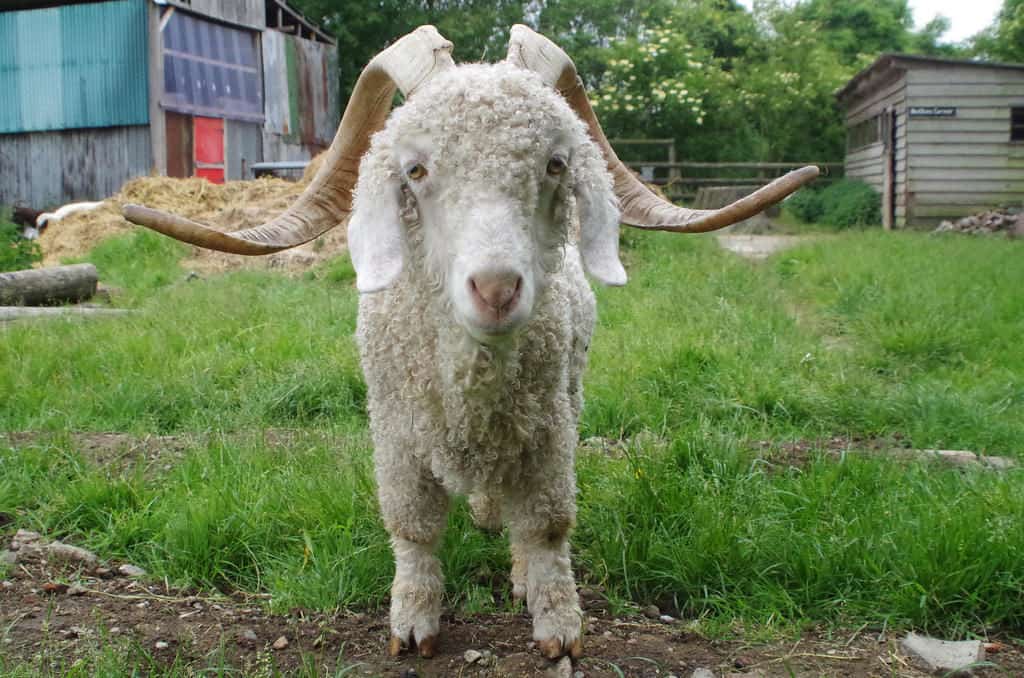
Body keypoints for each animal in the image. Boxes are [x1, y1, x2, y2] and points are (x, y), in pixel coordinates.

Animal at [123, 25, 817, 661]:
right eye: (416, 169)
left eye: (555, 164)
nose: (497, 289)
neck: (472, 381)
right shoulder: (395, 434)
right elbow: (412, 528)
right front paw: (412, 622)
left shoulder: (550, 430)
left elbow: (547, 526)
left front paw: (556, 624)